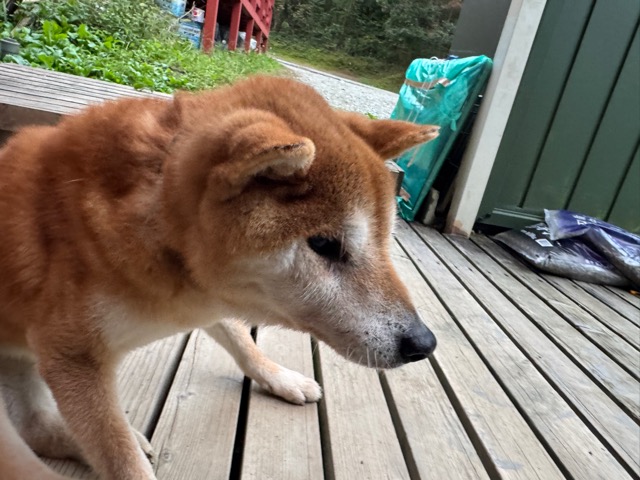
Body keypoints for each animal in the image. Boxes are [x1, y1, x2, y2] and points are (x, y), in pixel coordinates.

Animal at [0, 76, 438, 479]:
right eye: (326, 245)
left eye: (384, 240)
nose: (424, 343)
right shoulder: (73, 358)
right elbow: (119, 457)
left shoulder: (212, 300)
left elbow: (243, 341)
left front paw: (281, 377)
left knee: (36, 429)